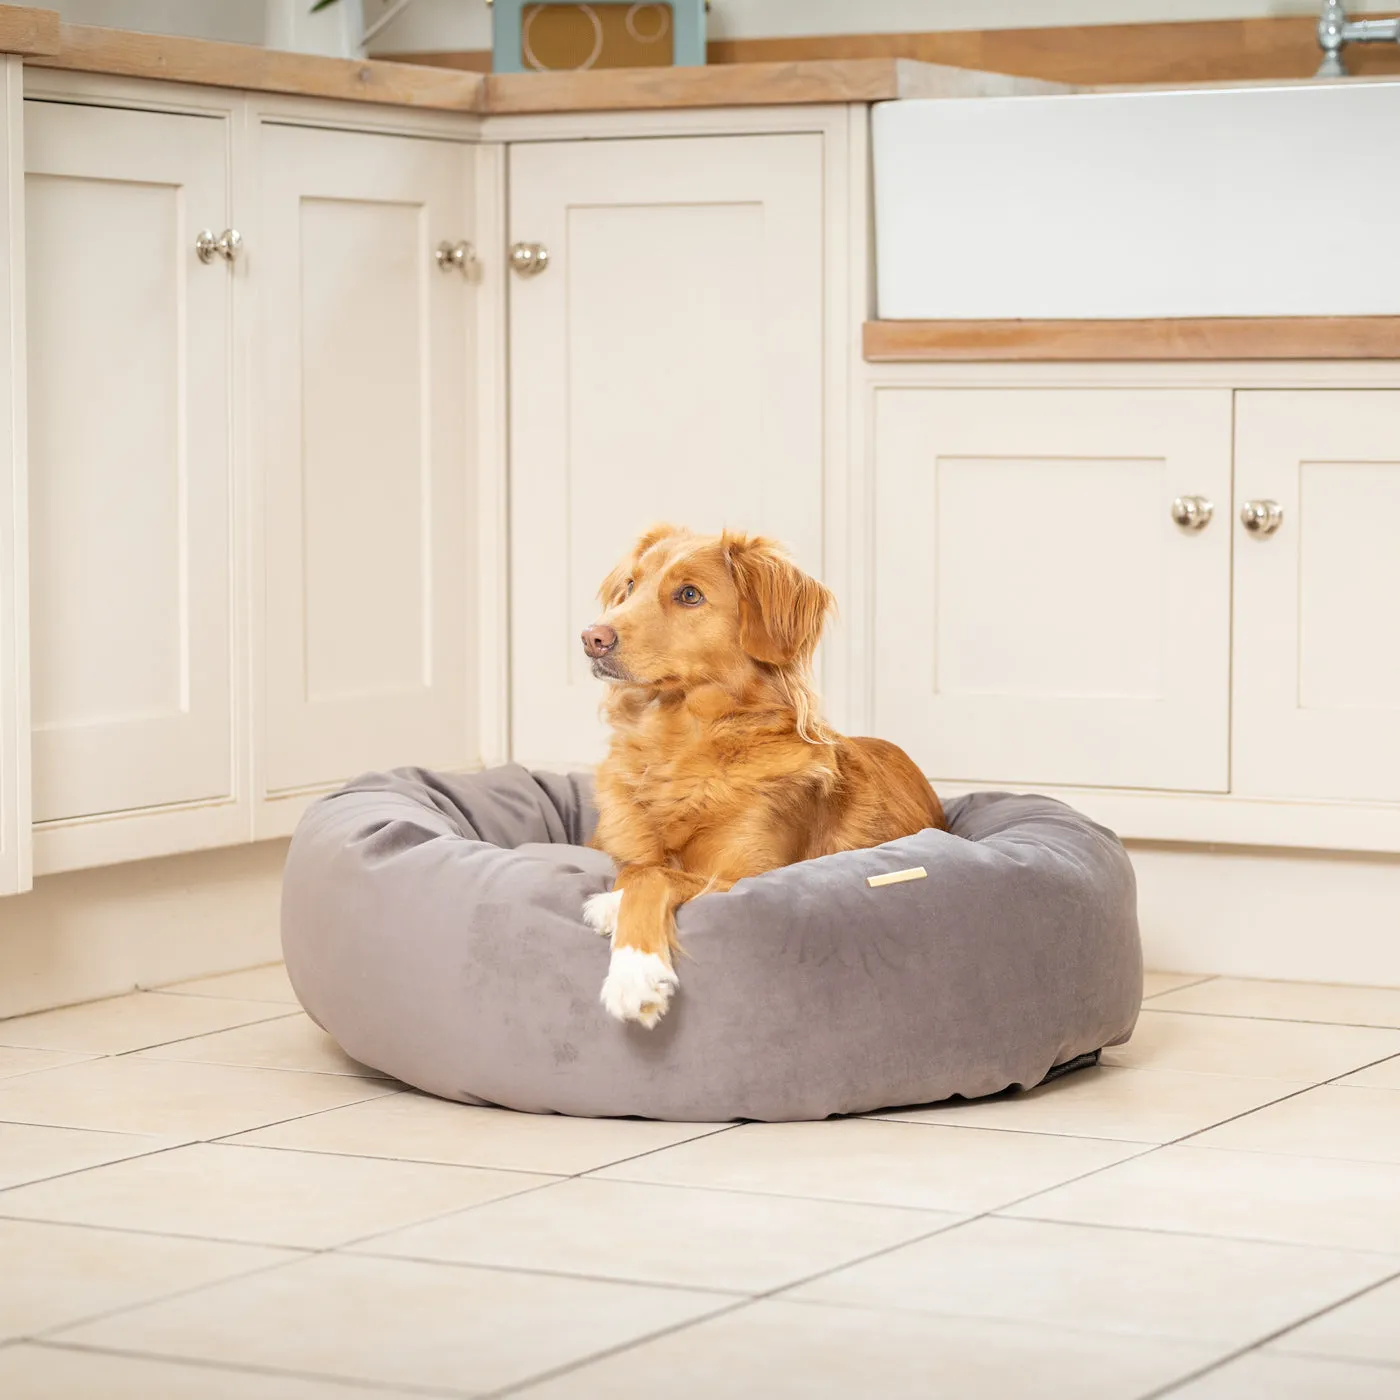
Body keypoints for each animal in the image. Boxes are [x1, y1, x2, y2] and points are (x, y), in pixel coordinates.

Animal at [574, 526, 946, 1030]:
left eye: (689, 595)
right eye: (630, 586)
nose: (591, 637)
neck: (680, 746)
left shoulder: (748, 875)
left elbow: (655, 877)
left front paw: (634, 974)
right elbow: (637, 867)